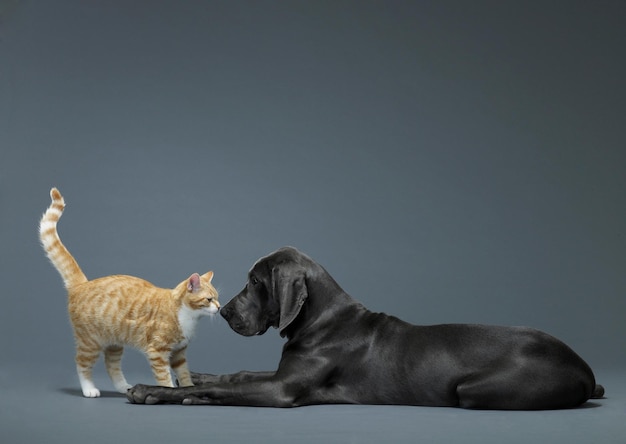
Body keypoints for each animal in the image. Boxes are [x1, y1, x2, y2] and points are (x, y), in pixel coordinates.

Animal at [38, 189, 219, 398]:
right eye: (209, 299)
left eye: (218, 298)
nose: (219, 307)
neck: (187, 316)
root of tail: (82, 284)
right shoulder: (157, 352)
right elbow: (164, 377)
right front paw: (167, 392)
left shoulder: (179, 353)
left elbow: (184, 374)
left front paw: (189, 390)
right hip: (90, 342)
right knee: (81, 363)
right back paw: (89, 389)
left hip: (114, 344)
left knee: (112, 366)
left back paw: (123, 387)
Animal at [125, 246, 600, 410]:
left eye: (256, 282)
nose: (223, 312)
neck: (322, 320)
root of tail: (585, 369)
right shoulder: (280, 374)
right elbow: (234, 376)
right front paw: (193, 376)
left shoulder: (281, 390)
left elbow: (224, 389)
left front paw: (156, 391)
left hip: (472, 389)